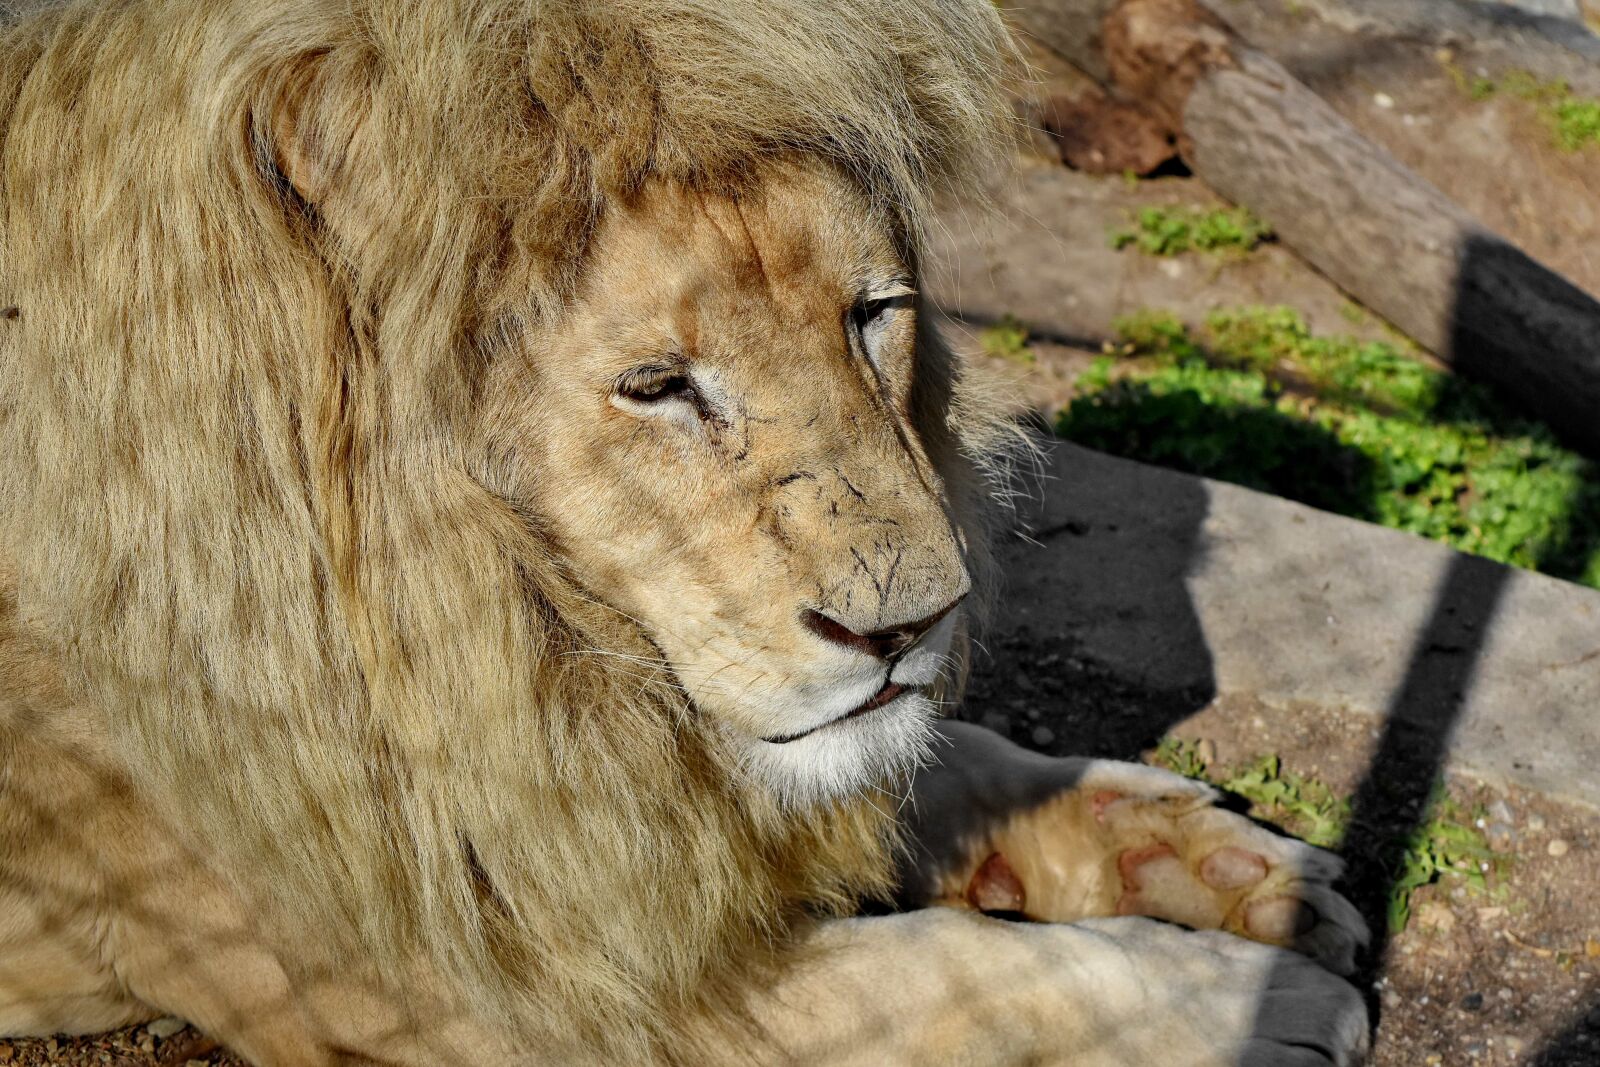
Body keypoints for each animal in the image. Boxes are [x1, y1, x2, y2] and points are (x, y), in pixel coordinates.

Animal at [0, 0, 1370, 1063]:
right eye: (658, 385)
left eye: (874, 312)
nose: (913, 623)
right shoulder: (482, 992)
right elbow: (953, 974)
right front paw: (1244, 1003)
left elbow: (949, 755)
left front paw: (1217, 863)